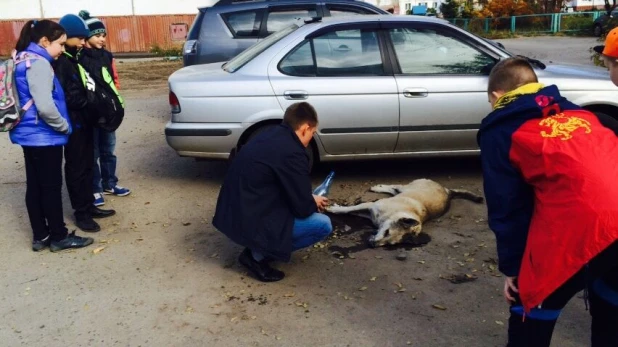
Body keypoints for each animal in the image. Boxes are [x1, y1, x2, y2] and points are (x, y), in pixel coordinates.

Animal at [324, 179, 484, 247]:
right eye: (387, 232)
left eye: (390, 244)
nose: (372, 245)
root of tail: (448, 192)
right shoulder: (370, 206)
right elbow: (349, 209)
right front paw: (334, 208)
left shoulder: (369, 212)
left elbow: (354, 211)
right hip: (407, 187)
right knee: (394, 186)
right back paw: (378, 187)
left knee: (393, 190)